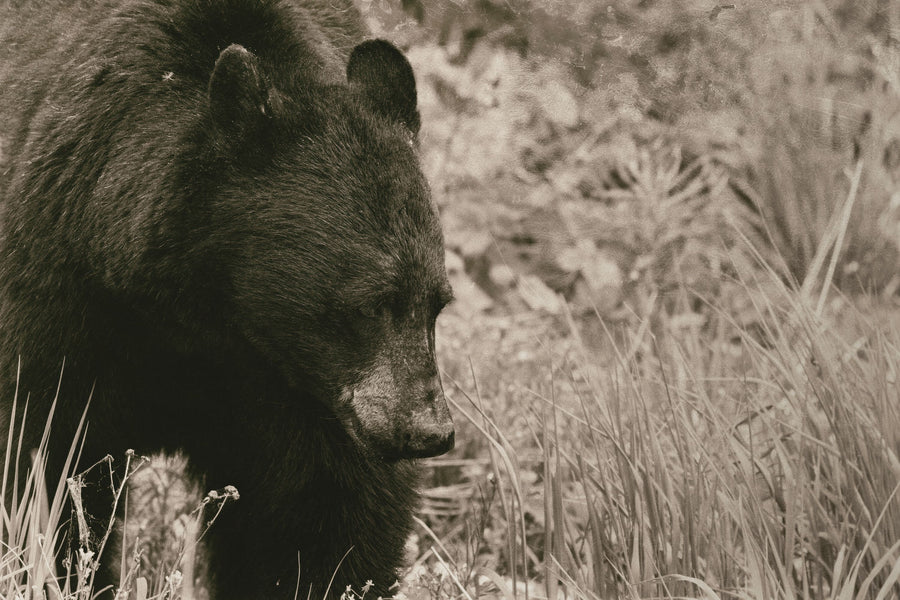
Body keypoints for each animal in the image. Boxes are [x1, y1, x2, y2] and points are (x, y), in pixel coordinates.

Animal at [0, 0, 455, 598]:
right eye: (370, 303)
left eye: (437, 303)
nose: (430, 430)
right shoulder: (63, 290)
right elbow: (42, 454)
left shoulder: (299, 387)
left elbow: (324, 504)